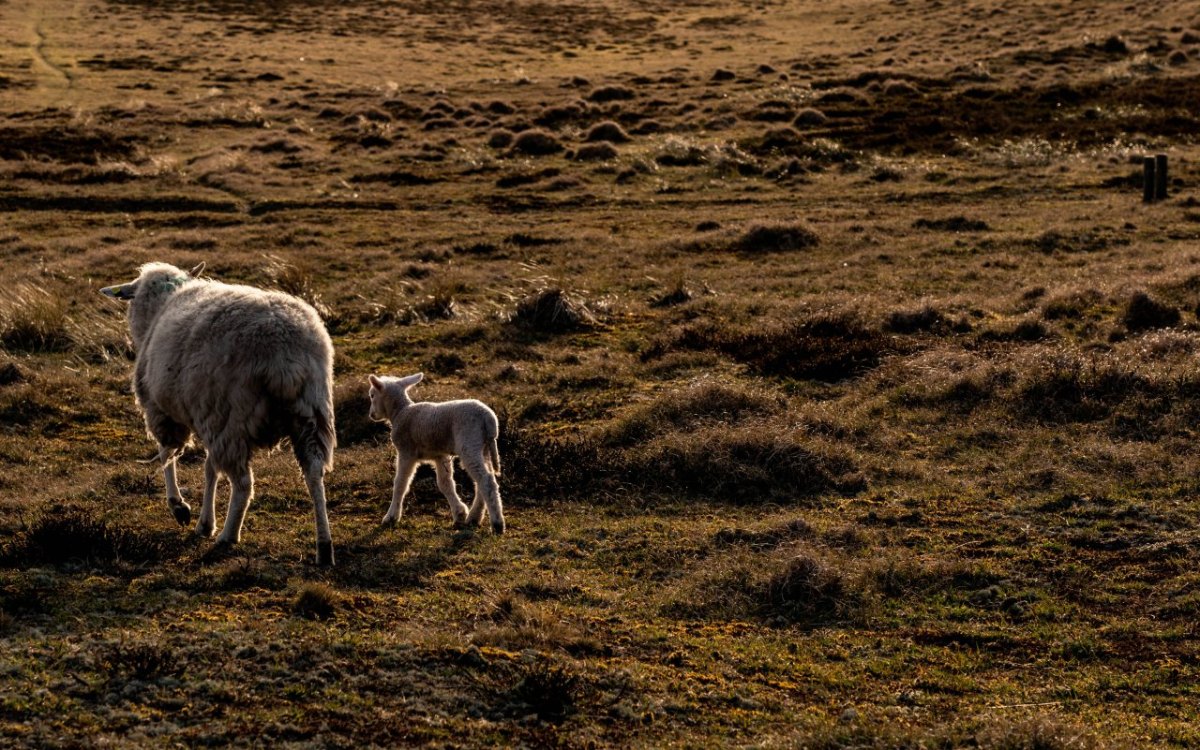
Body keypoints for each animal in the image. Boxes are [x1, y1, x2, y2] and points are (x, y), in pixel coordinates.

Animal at [102, 260, 338, 564]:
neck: (163, 303)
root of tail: (285, 354)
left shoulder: (163, 410)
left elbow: (168, 455)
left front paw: (180, 506)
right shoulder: (206, 415)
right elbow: (209, 468)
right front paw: (204, 522)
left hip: (232, 418)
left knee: (243, 483)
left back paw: (229, 535)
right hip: (311, 413)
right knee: (314, 473)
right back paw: (324, 546)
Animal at [372, 372, 508, 535]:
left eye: (372, 395)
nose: (372, 415)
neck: (400, 412)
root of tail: (489, 419)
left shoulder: (406, 452)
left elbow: (400, 483)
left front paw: (391, 517)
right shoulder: (440, 455)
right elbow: (445, 483)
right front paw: (459, 513)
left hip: (469, 442)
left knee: (486, 481)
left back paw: (497, 524)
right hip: (483, 447)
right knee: (482, 480)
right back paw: (473, 518)